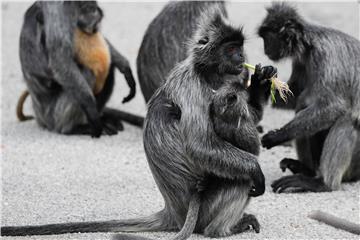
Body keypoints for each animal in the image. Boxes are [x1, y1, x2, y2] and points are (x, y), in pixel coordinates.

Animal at [17, 1, 142, 137]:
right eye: (95, 22)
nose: (96, 28)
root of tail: (39, 116)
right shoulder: (57, 7)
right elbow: (61, 61)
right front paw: (93, 115)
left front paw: (124, 65)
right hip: (53, 115)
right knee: (87, 73)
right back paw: (72, 128)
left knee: (108, 69)